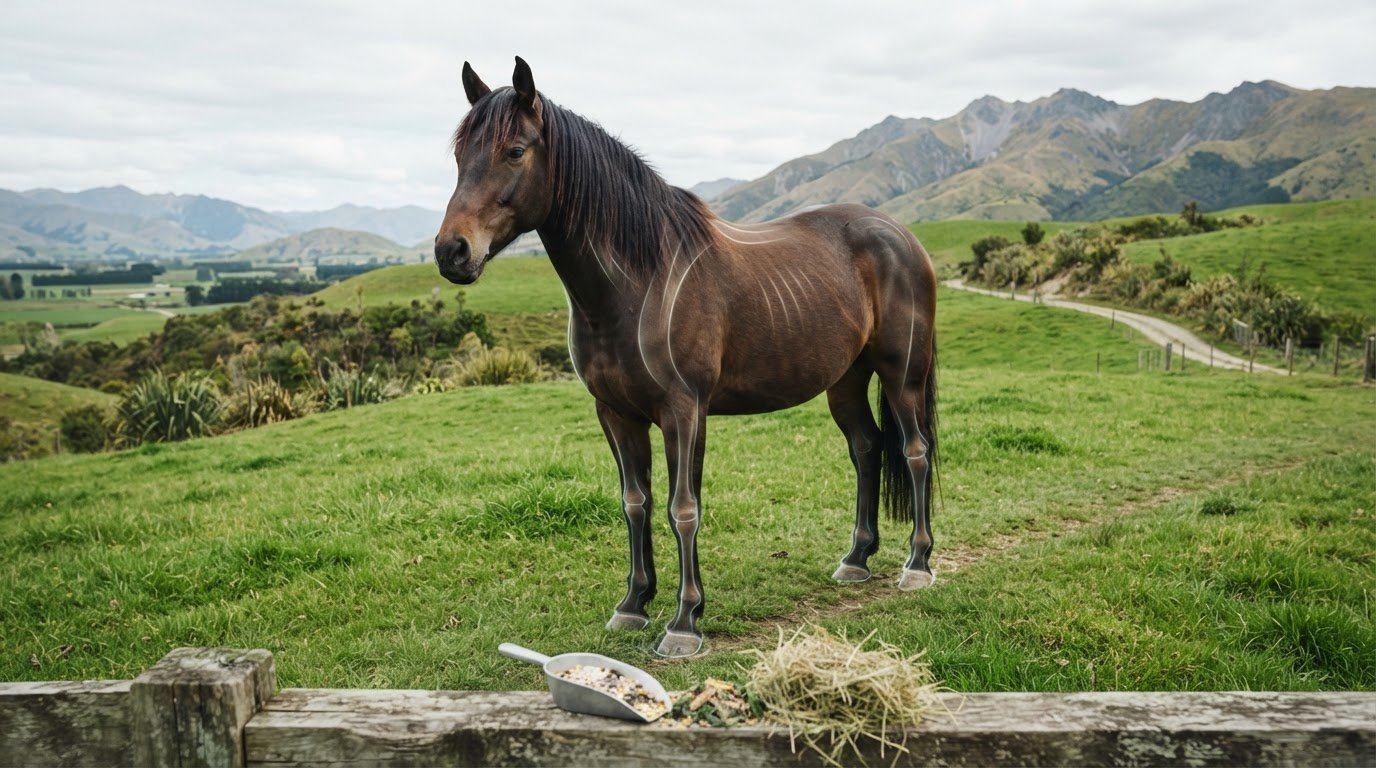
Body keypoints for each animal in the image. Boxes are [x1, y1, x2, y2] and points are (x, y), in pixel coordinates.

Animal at [435, 57, 938, 658]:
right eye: (459, 155)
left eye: (514, 151)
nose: (451, 251)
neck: (639, 280)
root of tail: (902, 236)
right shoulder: (616, 414)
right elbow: (636, 502)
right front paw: (633, 604)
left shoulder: (685, 412)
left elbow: (683, 508)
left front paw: (684, 621)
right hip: (844, 381)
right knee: (866, 449)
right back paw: (857, 559)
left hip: (901, 375)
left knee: (915, 451)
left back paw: (918, 563)